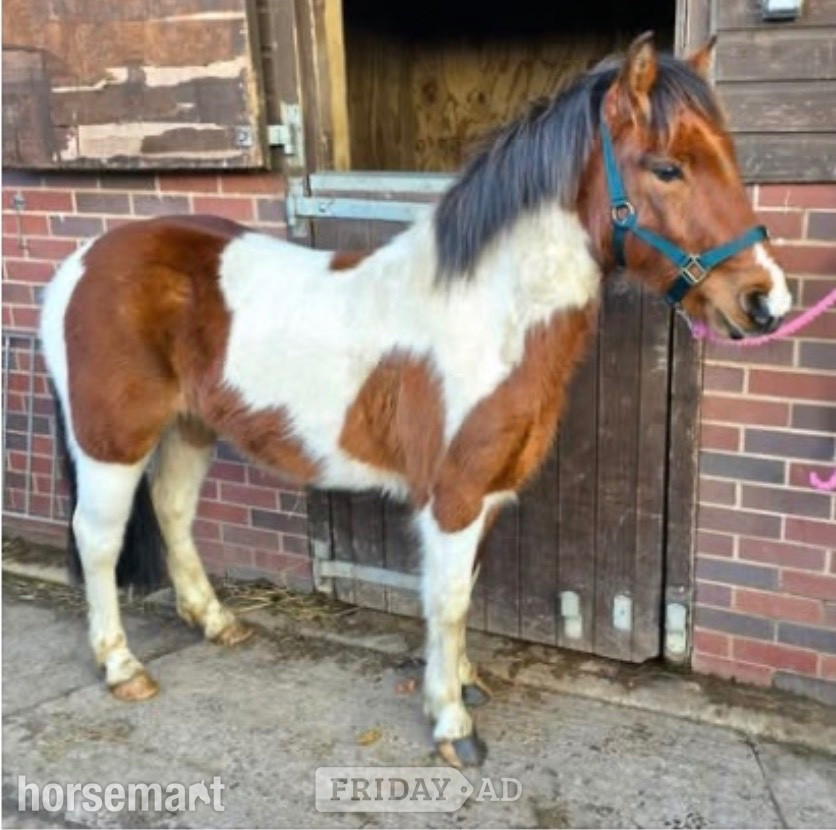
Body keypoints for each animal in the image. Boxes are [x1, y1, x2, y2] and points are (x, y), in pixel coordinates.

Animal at [40, 33, 792, 767]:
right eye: (668, 169)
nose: (765, 302)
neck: (488, 314)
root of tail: (81, 264)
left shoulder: (485, 496)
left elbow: (463, 592)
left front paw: (464, 682)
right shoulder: (453, 498)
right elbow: (449, 601)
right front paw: (451, 722)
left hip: (190, 427)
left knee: (171, 511)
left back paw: (217, 621)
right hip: (112, 440)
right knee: (98, 539)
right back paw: (122, 667)